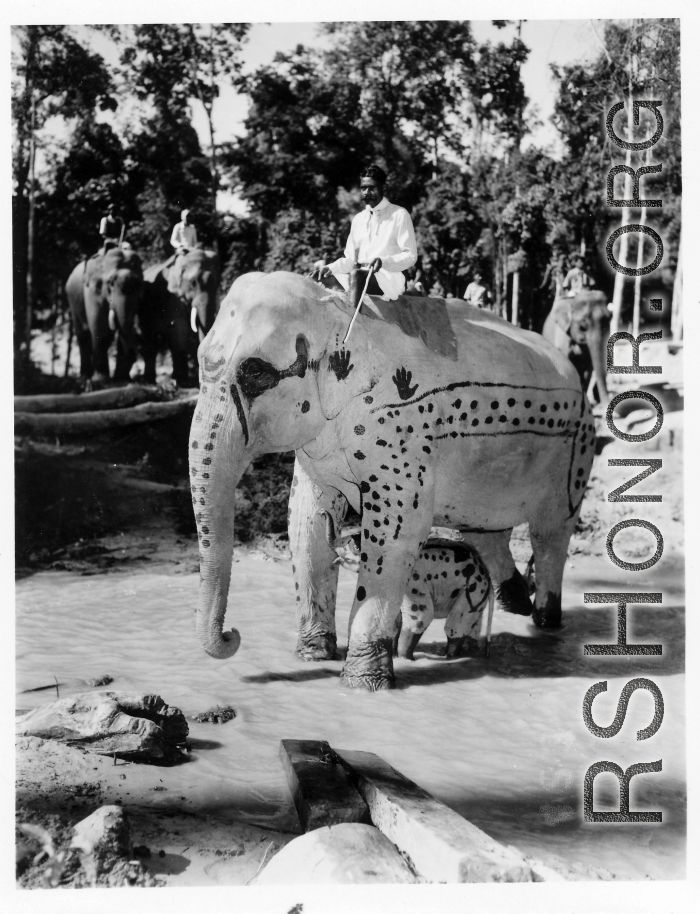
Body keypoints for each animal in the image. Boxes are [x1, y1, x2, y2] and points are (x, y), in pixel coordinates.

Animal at [65, 244, 144, 382]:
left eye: (139, 284)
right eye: (110, 283)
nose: (133, 356)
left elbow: (124, 325)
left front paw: (121, 379)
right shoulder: (91, 290)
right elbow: (99, 326)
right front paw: (100, 379)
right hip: (72, 298)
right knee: (83, 335)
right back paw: (84, 378)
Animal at [141, 246, 220, 384]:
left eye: (216, 285)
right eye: (193, 282)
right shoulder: (172, 294)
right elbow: (180, 328)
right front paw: (182, 382)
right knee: (149, 338)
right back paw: (149, 381)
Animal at [189, 274, 592, 688]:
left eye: (256, 374)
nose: (232, 634)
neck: (341, 311)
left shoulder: (404, 432)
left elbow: (397, 534)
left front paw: (362, 682)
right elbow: (305, 522)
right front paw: (313, 654)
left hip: (574, 456)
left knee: (551, 534)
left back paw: (544, 621)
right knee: (484, 533)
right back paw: (517, 602)